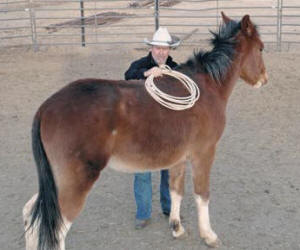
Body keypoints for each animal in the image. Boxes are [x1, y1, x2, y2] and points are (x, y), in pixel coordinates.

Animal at [22, 12, 268, 250]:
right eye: (261, 47)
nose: (264, 79)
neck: (207, 87)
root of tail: (46, 108)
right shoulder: (203, 154)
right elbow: (202, 194)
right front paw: (209, 236)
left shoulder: (179, 159)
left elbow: (175, 190)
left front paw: (177, 228)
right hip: (75, 182)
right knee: (58, 228)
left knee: (31, 216)